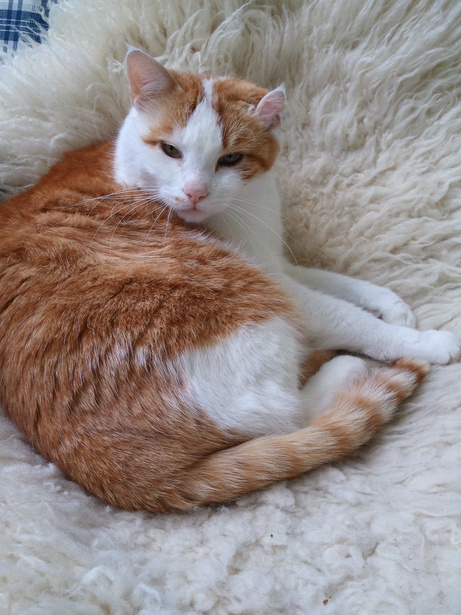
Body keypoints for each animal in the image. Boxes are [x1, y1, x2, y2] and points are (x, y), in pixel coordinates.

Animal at [0, 48, 456, 512]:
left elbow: (337, 281)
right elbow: (350, 318)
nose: (195, 192)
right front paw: (423, 341)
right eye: (170, 150)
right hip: (246, 308)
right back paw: (344, 366)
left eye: (231, 159)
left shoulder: (271, 260)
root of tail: (121, 475)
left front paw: (392, 304)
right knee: (288, 415)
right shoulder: (278, 285)